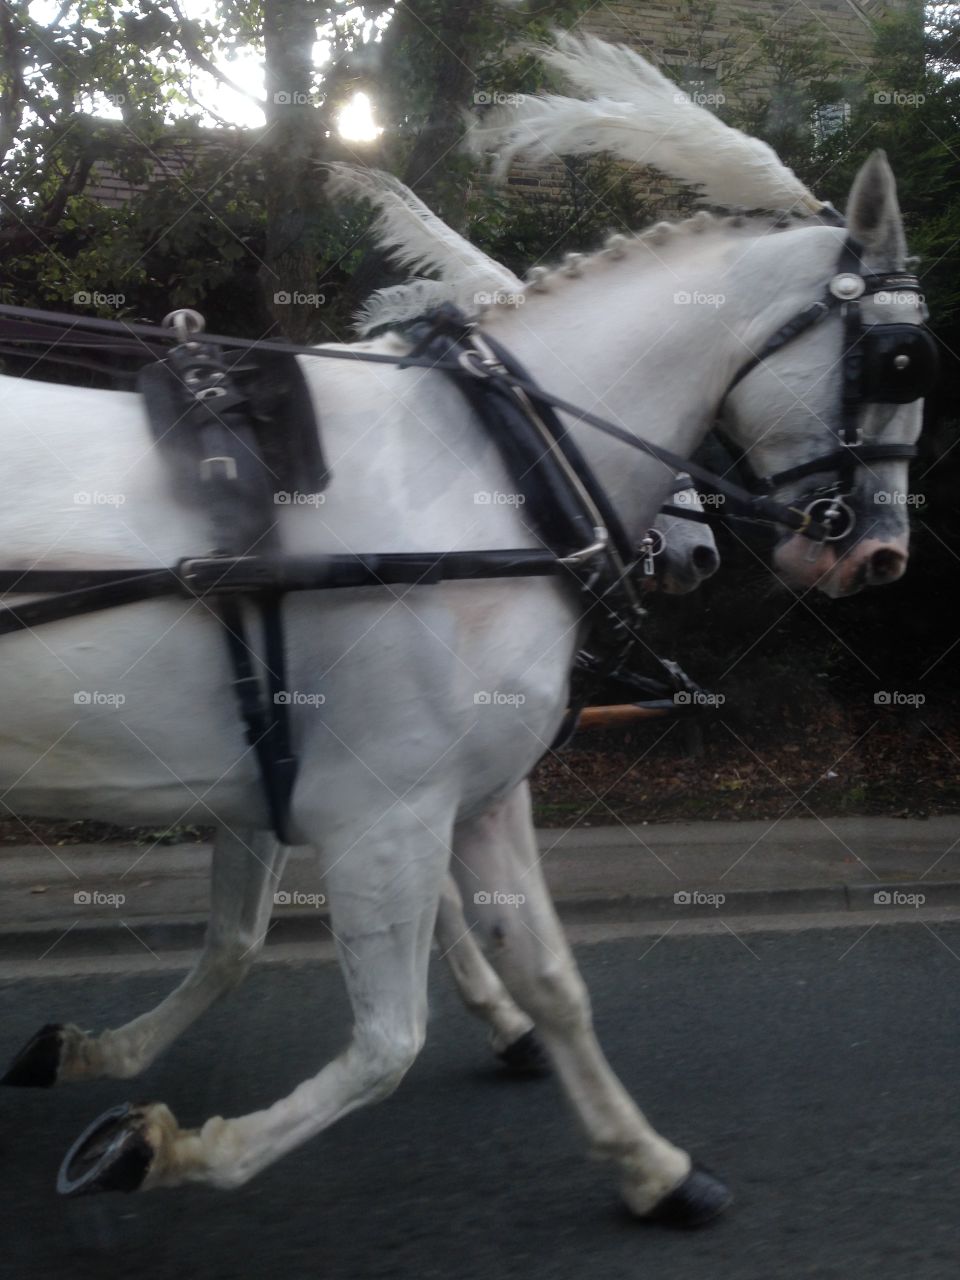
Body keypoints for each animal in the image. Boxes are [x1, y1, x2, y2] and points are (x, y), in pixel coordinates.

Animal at [1, 35, 931, 1223]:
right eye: (904, 361)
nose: (879, 555)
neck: (488, 469)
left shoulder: (452, 790)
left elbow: (543, 976)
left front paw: (650, 1164)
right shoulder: (380, 804)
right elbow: (381, 1038)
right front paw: (163, 1143)